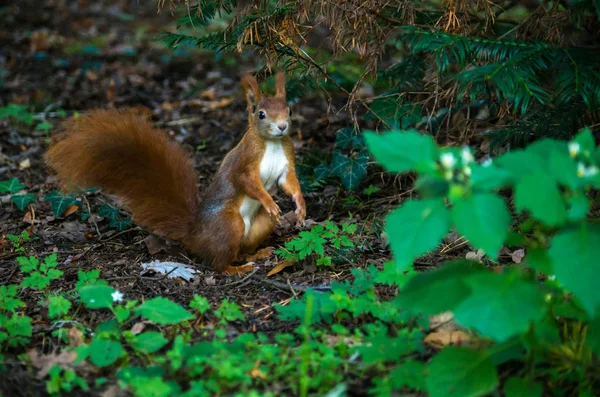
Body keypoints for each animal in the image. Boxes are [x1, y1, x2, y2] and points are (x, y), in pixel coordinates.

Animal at [44, 72, 304, 272]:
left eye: (290, 110)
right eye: (261, 114)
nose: (282, 126)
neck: (271, 143)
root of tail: (195, 235)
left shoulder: (287, 158)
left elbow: (289, 182)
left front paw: (300, 207)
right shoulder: (244, 162)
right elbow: (247, 182)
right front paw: (269, 201)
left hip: (259, 226)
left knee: (240, 250)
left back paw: (256, 254)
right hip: (230, 224)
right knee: (218, 264)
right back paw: (237, 269)